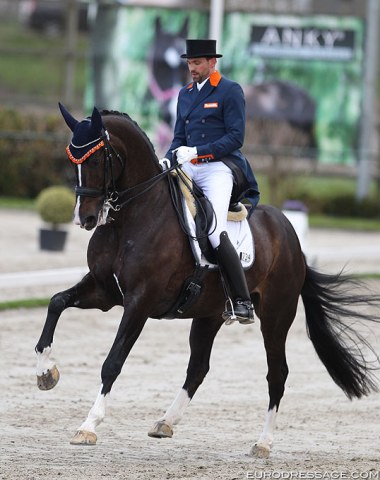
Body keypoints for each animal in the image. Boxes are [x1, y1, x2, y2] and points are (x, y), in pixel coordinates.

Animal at [34, 105, 378, 458]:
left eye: (96, 160)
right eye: (72, 161)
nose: (85, 218)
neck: (132, 218)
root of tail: (289, 234)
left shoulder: (139, 302)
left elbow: (113, 362)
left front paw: (88, 426)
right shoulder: (104, 291)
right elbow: (56, 303)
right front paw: (47, 373)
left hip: (276, 316)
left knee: (277, 374)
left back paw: (262, 443)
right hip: (209, 314)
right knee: (198, 367)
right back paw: (165, 422)